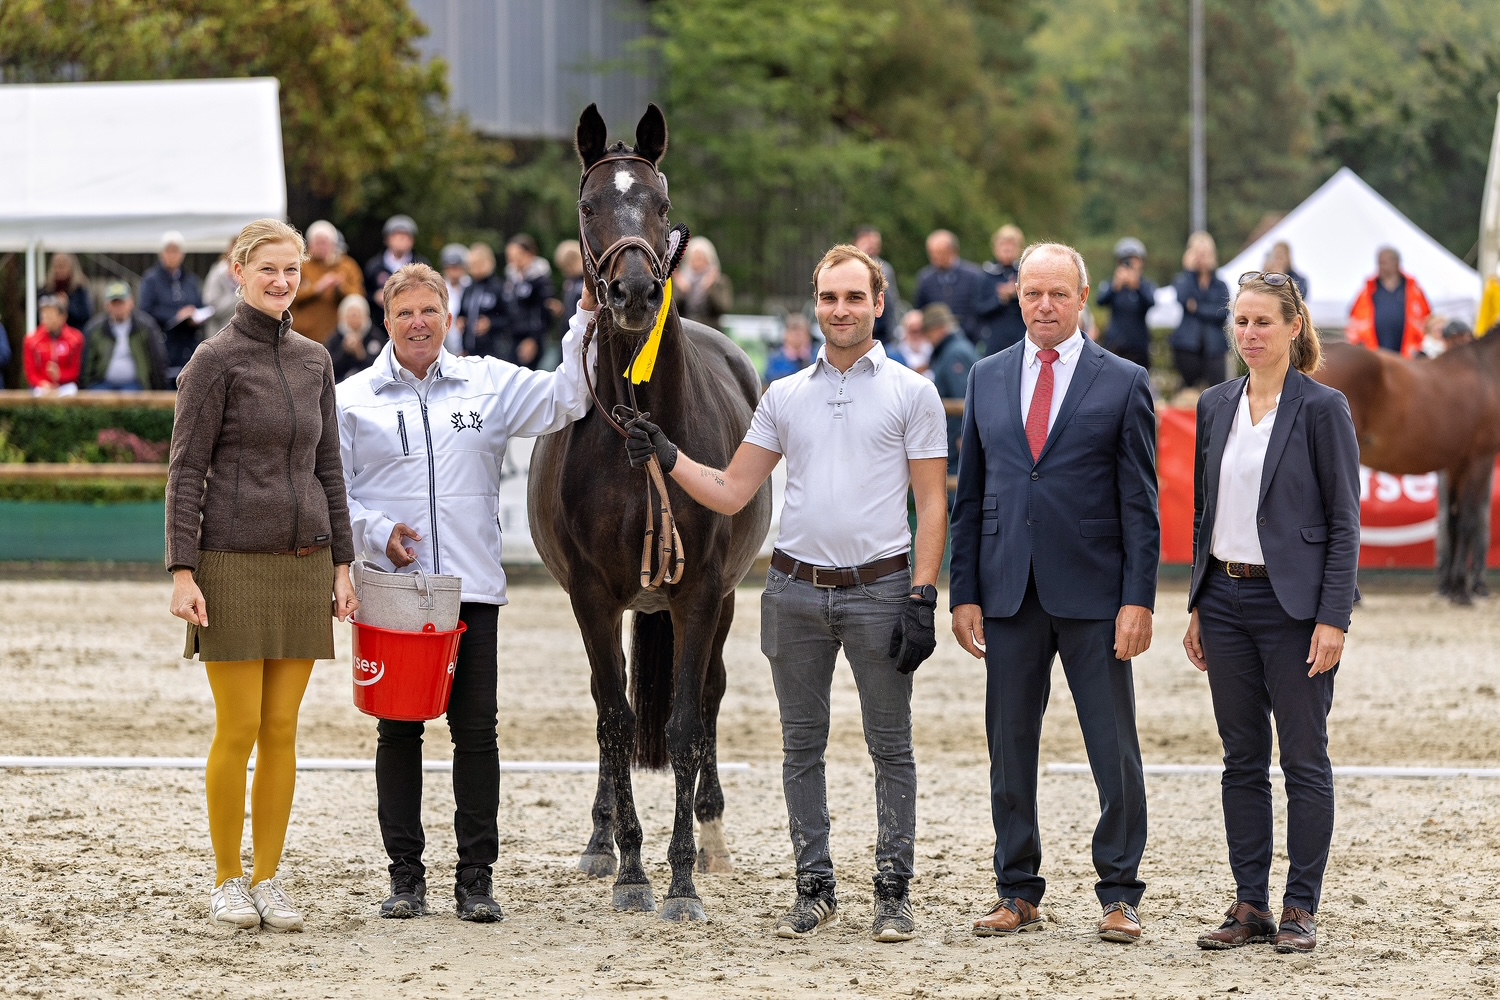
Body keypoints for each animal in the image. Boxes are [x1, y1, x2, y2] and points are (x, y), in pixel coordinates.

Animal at [527, 103, 772, 921]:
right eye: (588, 206)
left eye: (661, 203)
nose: (634, 294)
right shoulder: (591, 597)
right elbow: (616, 719)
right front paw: (632, 868)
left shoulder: (699, 593)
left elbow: (687, 722)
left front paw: (684, 878)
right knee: (614, 711)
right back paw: (602, 840)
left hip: (723, 600)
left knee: (711, 696)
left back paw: (714, 832)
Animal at [1314, 337, 1500, 603]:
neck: (1486, 370)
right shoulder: (1479, 459)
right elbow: (1467, 522)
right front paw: (1462, 592)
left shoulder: (1456, 464)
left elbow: (1453, 523)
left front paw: (1453, 588)